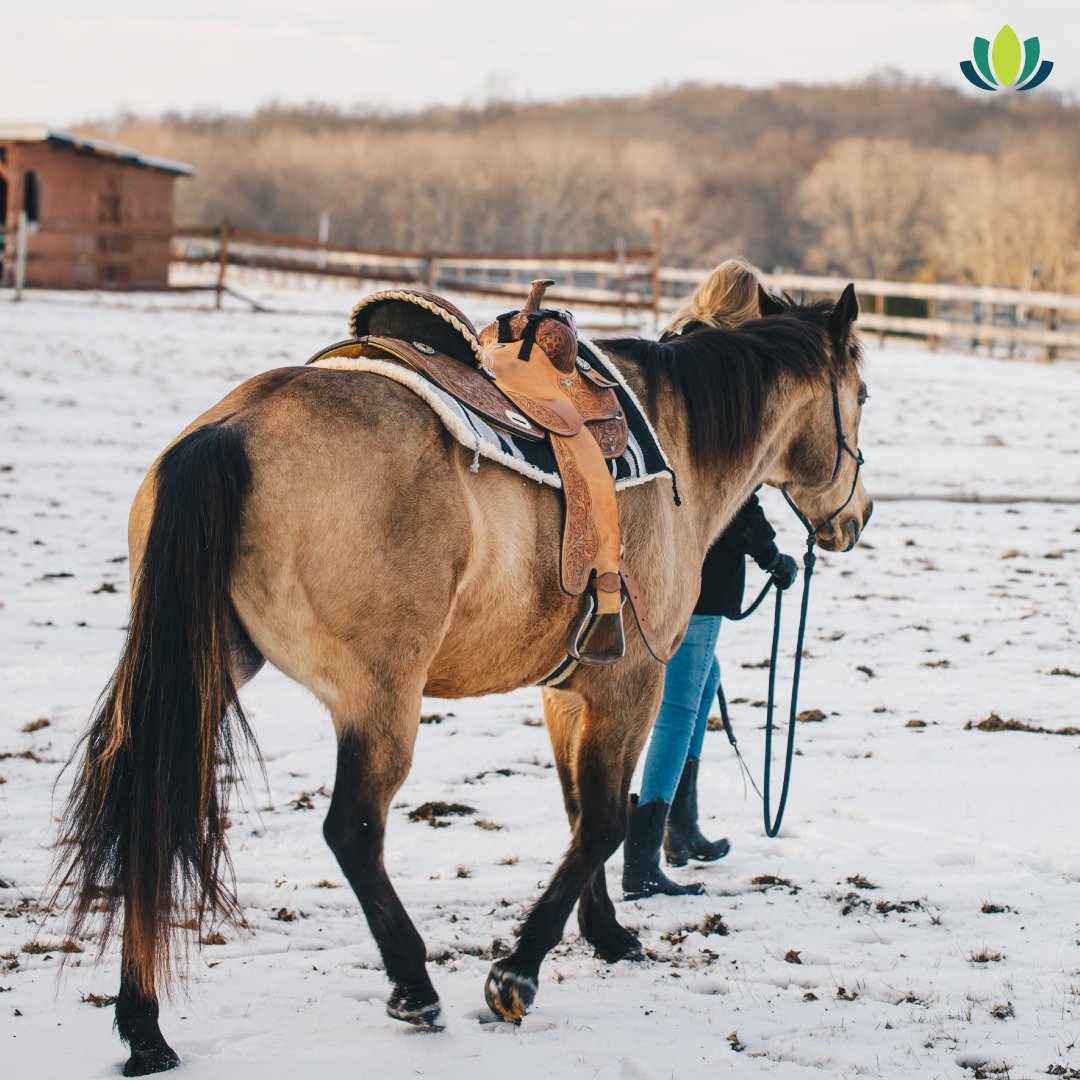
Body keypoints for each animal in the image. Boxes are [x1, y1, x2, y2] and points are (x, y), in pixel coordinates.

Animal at [53, 283, 871, 1075]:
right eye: (861, 394)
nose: (855, 519)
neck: (678, 447)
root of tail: (233, 429)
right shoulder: (631, 685)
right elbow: (605, 822)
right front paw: (519, 972)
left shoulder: (565, 690)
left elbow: (580, 814)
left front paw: (605, 933)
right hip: (380, 698)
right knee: (352, 830)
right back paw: (412, 985)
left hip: (206, 668)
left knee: (150, 805)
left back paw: (145, 1029)